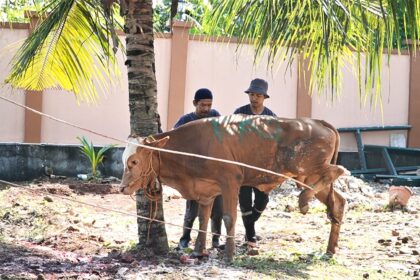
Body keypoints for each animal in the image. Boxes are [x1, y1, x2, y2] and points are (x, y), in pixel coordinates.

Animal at [120, 114, 346, 262]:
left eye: (134, 161)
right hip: (306, 175)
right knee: (338, 201)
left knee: (338, 169)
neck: (192, 147)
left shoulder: (230, 181)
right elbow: (203, 219)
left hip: (303, 166)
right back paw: (330, 249)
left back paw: (304, 199)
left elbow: (228, 218)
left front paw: (229, 255)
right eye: (124, 160)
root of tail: (316, 121)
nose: (122, 188)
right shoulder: (205, 191)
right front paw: (199, 251)